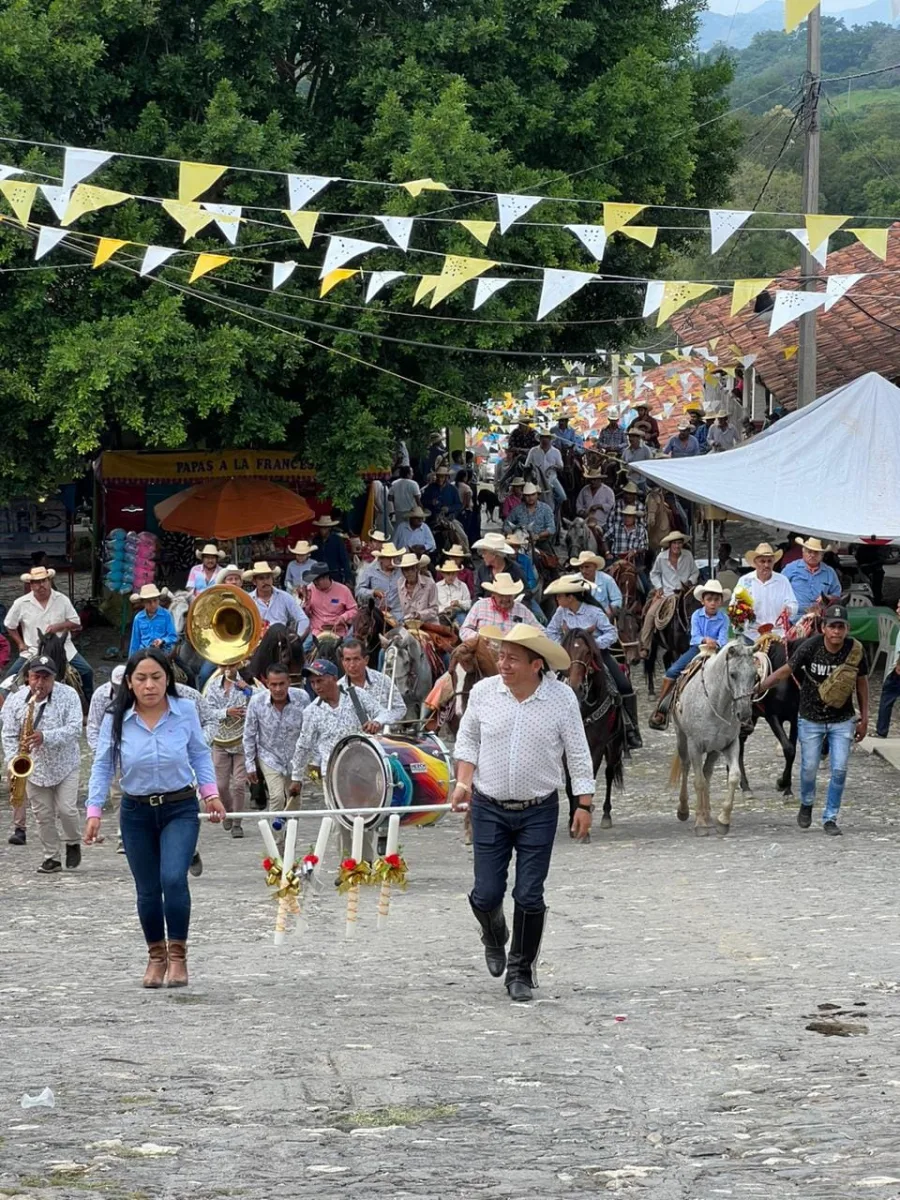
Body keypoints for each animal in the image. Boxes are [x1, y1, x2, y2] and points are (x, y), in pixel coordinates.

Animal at [564, 628, 628, 835]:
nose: (575, 686)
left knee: (609, 773)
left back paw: (606, 815)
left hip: (614, 744)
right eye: (565, 649)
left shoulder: (597, 747)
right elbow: (570, 783)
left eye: (587, 653)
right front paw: (572, 820)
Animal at [672, 648, 763, 835]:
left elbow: (733, 776)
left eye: (755, 675)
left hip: (713, 750)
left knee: (707, 773)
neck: (715, 705)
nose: (744, 714)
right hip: (682, 740)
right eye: (733, 674)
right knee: (686, 767)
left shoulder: (730, 745)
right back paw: (684, 810)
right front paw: (700, 824)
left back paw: (707, 816)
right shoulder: (695, 746)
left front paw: (723, 821)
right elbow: (698, 782)